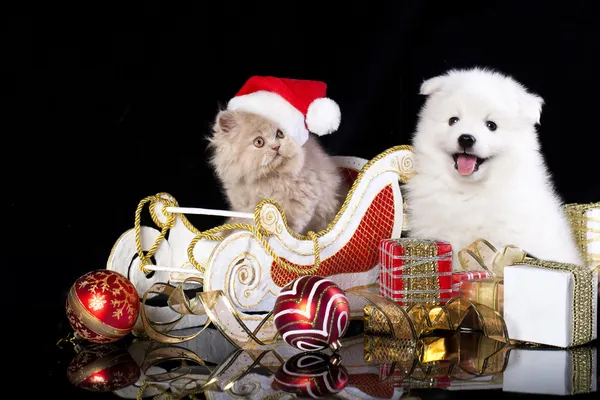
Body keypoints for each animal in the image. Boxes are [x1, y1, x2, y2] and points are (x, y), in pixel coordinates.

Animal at [207, 109, 350, 234]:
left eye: (280, 134)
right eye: (258, 142)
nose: (276, 147)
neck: (267, 178)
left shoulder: (301, 203)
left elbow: (289, 228)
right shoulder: (245, 208)